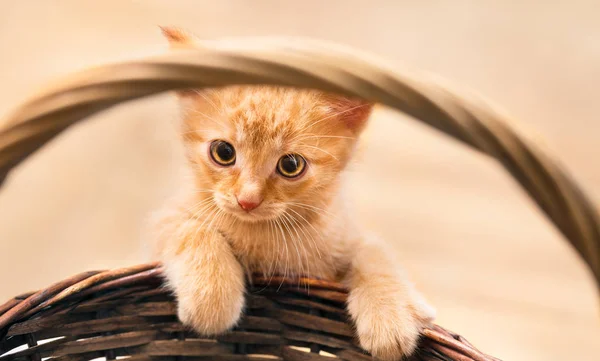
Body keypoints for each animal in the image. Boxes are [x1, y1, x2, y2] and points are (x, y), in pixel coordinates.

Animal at [151, 26, 436, 358]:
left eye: (290, 165)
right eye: (223, 152)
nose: (247, 200)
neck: (263, 235)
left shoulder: (346, 234)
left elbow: (375, 252)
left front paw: (390, 315)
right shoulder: (163, 223)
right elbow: (191, 229)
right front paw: (211, 299)